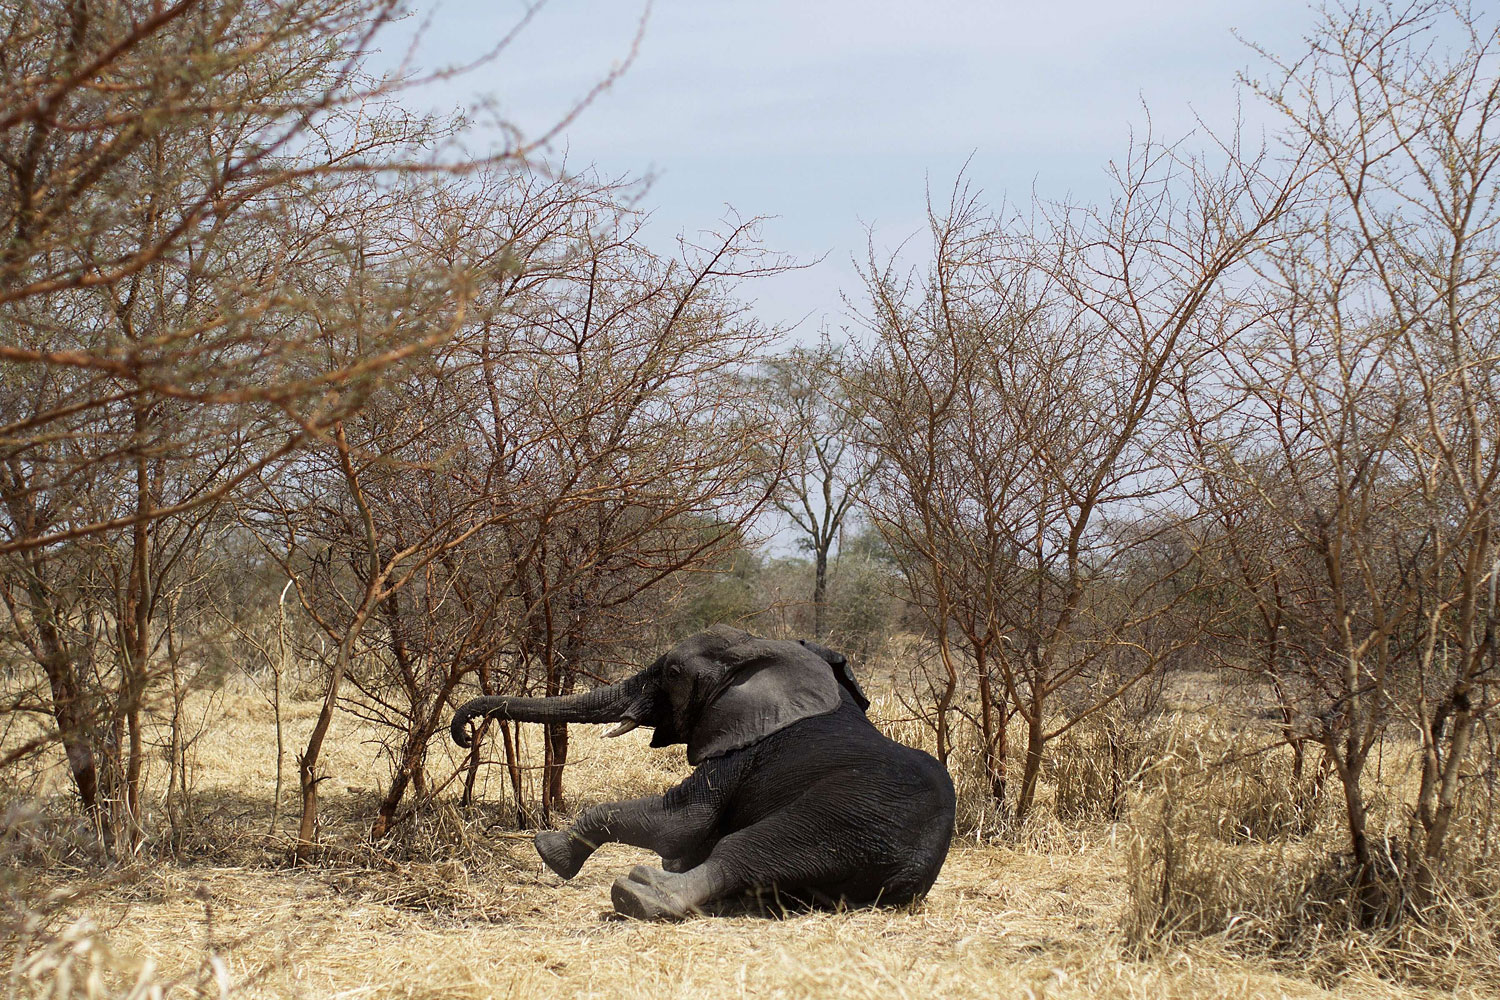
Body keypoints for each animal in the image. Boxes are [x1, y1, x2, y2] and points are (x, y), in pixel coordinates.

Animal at [450, 625, 956, 920]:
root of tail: (914, 874)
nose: (466, 732)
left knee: (749, 850)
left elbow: (682, 823)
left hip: (851, 814)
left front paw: (550, 849)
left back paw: (640, 893)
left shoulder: (740, 752)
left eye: (672, 672)